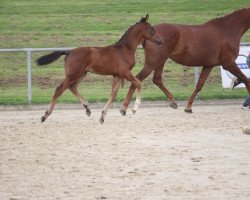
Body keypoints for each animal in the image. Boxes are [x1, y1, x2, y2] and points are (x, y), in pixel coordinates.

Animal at [119, 7, 250, 114]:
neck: (227, 30)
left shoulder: (209, 65)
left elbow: (199, 85)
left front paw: (188, 107)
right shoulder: (228, 63)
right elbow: (246, 79)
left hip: (161, 61)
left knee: (157, 79)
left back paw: (173, 102)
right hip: (153, 62)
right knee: (138, 79)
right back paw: (124, 108)